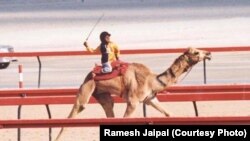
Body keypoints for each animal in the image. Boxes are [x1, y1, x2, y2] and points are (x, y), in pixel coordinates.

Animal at [54, 47, 211, 140]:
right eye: (196, 52)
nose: (209, 53)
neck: (152, 80)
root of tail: (88, 74)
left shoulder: (150, 99)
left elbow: (169, 114)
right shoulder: (133, 101)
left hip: (102, 95)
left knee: (109, 109)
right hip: (86, 90)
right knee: (72, 115)